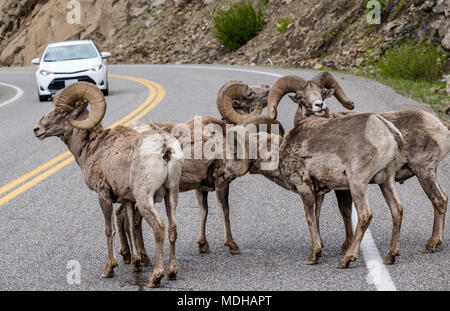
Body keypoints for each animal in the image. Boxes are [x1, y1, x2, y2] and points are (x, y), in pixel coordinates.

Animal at [32, 82, 185, 288]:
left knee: (159, 227)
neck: (93, 148)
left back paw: (156, 277)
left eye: (61, 111)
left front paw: (109, 269)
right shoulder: (127, 199)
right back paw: (171, 273)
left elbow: (109, 229)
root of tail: (165, 148)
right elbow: (129, 226)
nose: (37, 129)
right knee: (172, 228)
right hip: (171, 194)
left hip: (145, 199)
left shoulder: (103, 195)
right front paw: (135, 263)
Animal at [224, 73, 404, 268]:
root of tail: (387, 130)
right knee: (397, 209)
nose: (226, 173)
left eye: (236, 151)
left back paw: (346, 259)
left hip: (358, 183)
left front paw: (313, 256)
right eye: (301, 96)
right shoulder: (318, 193)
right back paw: (391, 256)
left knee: (365, 215)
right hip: (385, 181)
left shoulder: (305, 188)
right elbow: (316, 219)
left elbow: (309, 219)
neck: (281, 151)